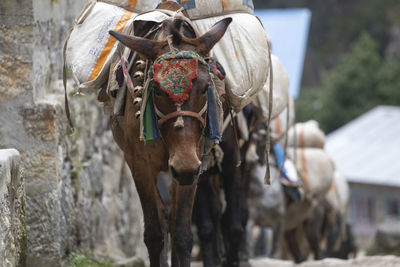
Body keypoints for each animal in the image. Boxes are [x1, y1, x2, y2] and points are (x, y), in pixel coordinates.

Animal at [108, 1, 231, 266]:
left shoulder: (193, 165)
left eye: (205, 87)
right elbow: (155, 232)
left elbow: (182, 234)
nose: (183, 166)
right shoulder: (139, 164)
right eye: (156, 89)